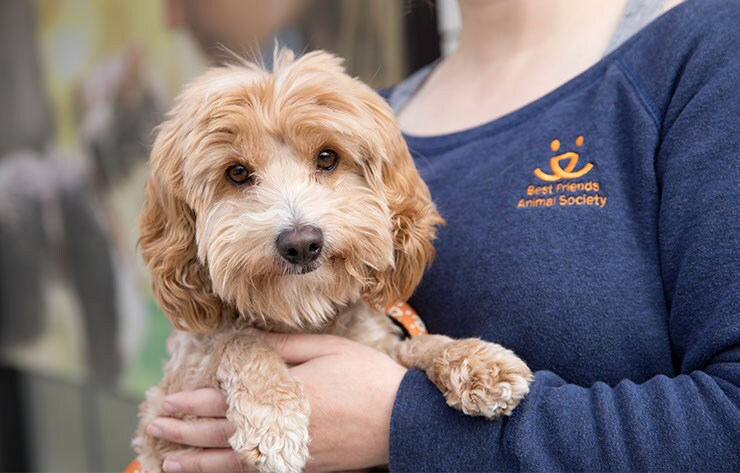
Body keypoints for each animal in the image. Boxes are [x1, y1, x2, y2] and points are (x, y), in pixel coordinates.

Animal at [130, 48, 528, 472]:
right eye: (236, 173)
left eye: (326, 157)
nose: (301, 244)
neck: (303, 312)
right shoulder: (170, 416)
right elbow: (236, 341)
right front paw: (273, 415)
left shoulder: (375, 347)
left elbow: (415, 346)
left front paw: (476, 360)